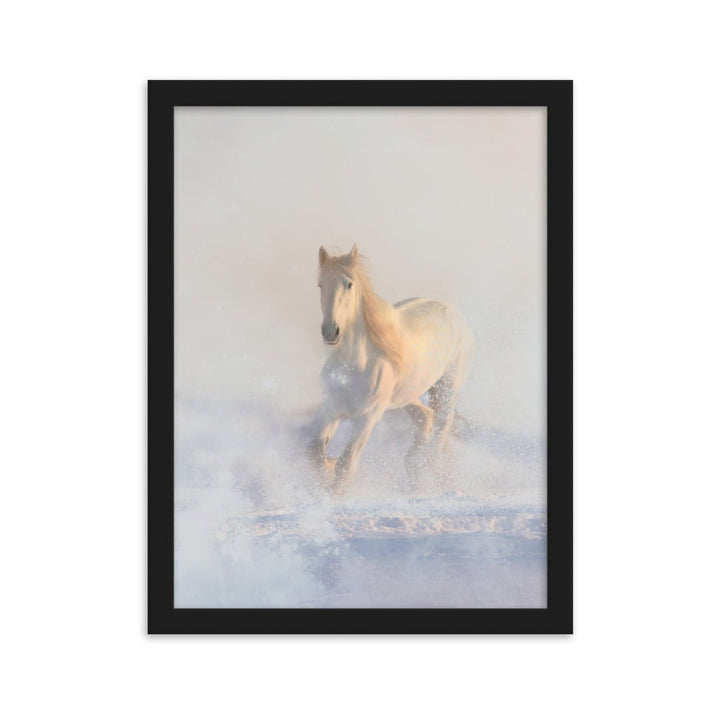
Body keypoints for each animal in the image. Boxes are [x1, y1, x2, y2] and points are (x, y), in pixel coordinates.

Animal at [307, 244, 475, 493]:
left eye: (349, 284)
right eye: (320, 285)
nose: (330, 331)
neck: (355, 367)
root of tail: (454, 313)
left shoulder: (368, 418)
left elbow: (347, 464)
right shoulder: (331, 409)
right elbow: (315, 452)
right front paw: (327, 470)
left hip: (447, 389)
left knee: (440, 432)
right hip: (408, 396)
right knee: (426, 419)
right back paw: (413, 471)